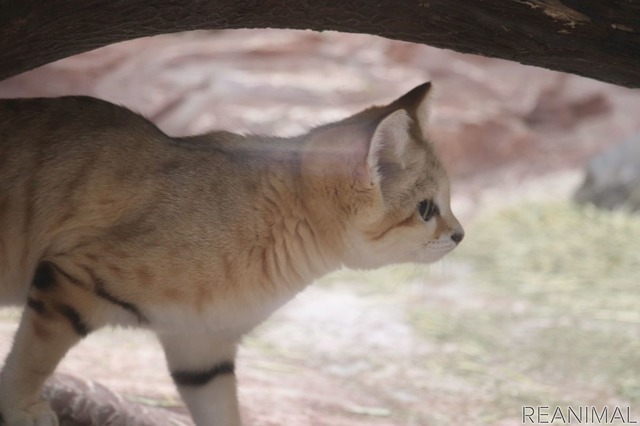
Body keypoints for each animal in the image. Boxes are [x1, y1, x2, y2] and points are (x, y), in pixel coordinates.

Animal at [0, 83, 460, 426]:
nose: (460, 234)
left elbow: (222, 411)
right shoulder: (72, 284)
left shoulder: (201, 347)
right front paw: (20, 407)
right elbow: (32, 360)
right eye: (426, 209)